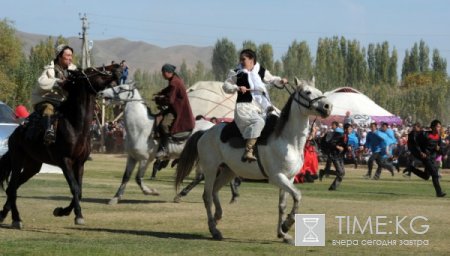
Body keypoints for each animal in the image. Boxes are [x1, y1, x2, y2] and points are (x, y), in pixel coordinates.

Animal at [0, 64, 121, 228]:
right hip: (18, 161)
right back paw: (16, 219)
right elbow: (74, 188)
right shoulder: (65, 161)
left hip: (32, 166)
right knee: (12, 188)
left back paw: (4, 215)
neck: (75, 126)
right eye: (91, 70)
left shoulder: (80, 163)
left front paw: (63, 211)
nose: (117, 67)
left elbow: (79, 190)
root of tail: (14, 134)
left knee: (13, 188)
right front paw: (76, 215)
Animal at [174, 78, 332, 244]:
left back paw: (217, 217)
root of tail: (204, 132)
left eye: (320, 91)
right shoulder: (277, 177)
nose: (328, 106)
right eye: (307, 92)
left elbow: (282, 205)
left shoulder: (289, 178)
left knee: (215, 190)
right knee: (207, 196)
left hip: (228, 171)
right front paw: (287, 224)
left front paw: (282, 233)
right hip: (210, 169)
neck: (288, 141)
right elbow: (297, 195)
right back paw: (214, 230)